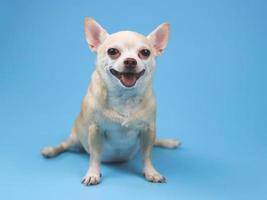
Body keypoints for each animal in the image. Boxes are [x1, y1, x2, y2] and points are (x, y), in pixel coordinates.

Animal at [41, 17, 180, 186]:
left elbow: (147, 155)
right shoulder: (95, 130)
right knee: (64, 145)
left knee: (154, 144)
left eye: (145, 52)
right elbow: (95, 156)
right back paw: (50, 150)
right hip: (75, 138)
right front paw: (93, 174)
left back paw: (168, 142)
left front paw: (151, 172)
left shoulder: (149, 130)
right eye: (112, 51)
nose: (130, 61)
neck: (124, 96)